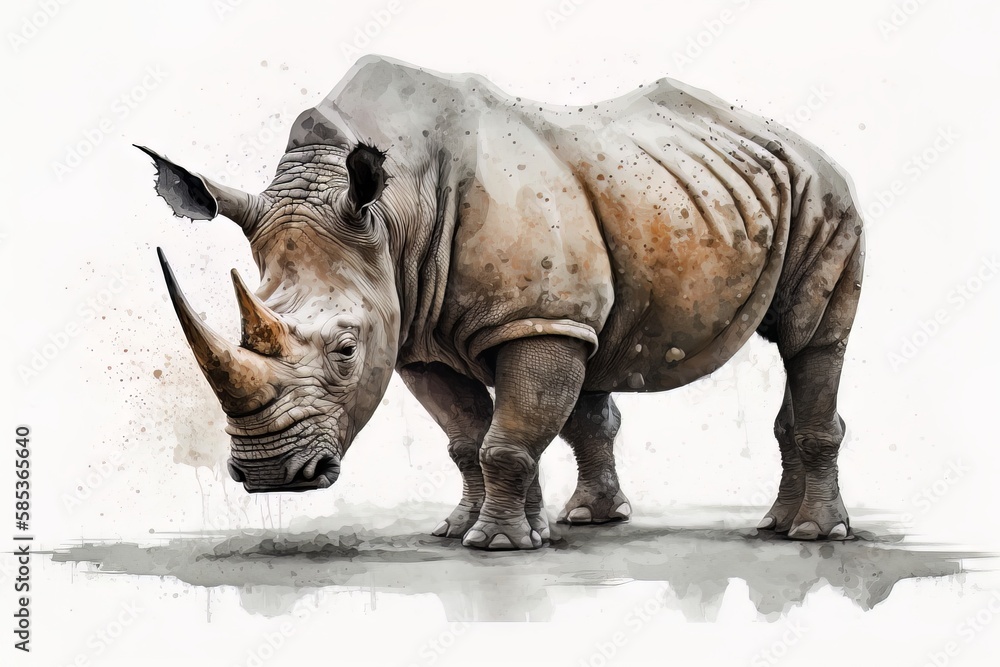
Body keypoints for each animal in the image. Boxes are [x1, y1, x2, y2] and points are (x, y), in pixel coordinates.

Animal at [140, 55, 864, 550]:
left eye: (345, 350)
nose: (271, 475)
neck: (392, 213)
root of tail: (800, 141)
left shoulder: (530, 318)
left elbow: (506, 439)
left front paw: (497, 545)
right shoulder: (417, 332)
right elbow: (470, 437)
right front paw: (475, 530)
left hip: (824, 192)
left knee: (812, 340)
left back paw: (811, 534)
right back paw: (613, 520)